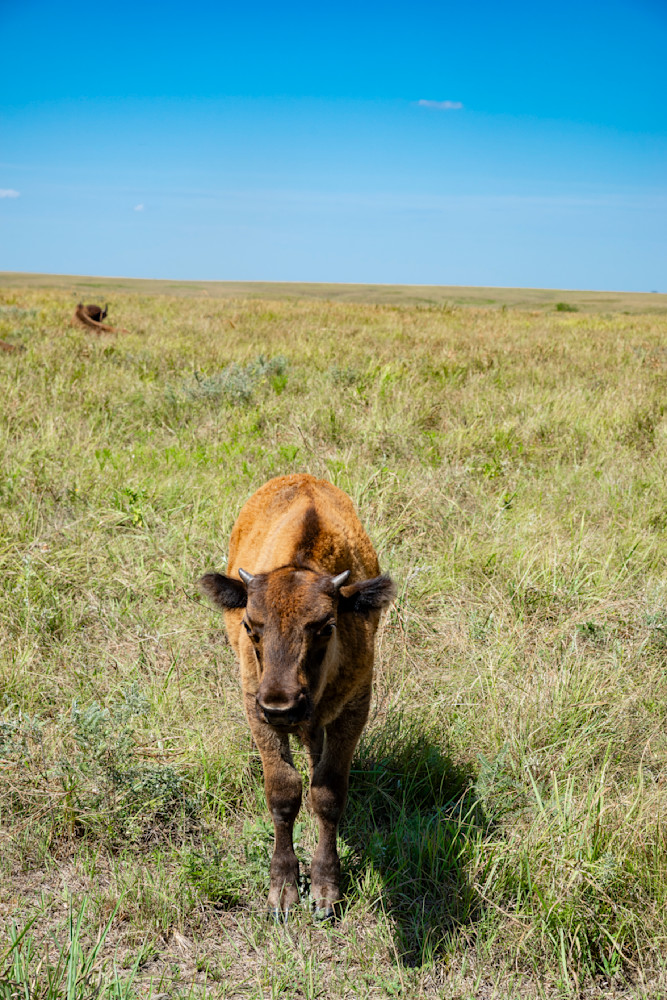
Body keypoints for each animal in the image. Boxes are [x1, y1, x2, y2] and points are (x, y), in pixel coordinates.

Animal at [199, 474, 395, 919]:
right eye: (251, 626)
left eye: (326, 626)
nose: (281, 706)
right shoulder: (255, 709)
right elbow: (284, 790)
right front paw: (283, 891)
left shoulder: (354, 709)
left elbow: (327, 792)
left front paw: (325, 892)